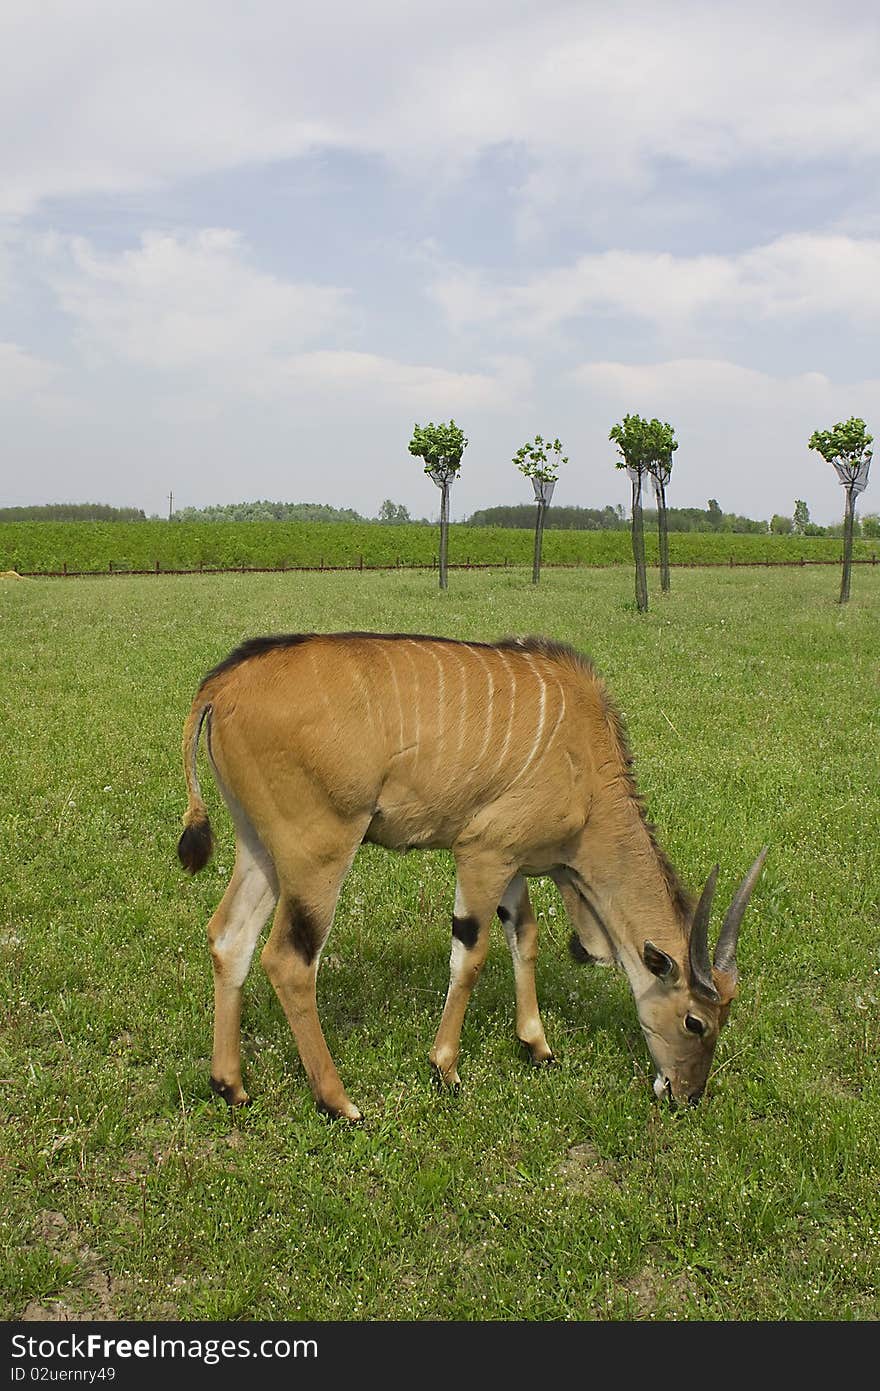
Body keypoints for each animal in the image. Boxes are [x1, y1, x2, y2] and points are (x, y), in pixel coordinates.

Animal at [176, 631, 761, 1118]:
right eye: (696, 1021)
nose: (687, 1094)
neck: (588, 767)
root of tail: (222, 685)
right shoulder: (482, 851)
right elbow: (472, 953)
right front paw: (446, 1067)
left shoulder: (513, 862)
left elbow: (524, 936)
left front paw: (537, 1045)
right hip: (318, 852)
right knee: (289, 960)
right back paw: (338, 1101)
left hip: (260, 848)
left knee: (229, 937)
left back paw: (230, 1085)